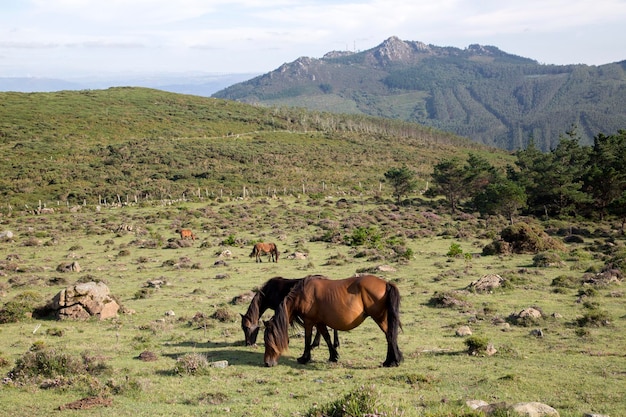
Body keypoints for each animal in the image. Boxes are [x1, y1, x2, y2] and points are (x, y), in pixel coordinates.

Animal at [262, 272, 400, 368]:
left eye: (269, 341)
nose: (267, 363)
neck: (303, 295)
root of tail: (386, 283)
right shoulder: (319, 322)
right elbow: (327, 337)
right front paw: (333, 356)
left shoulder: (309, 321)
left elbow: (307, 339)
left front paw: (304, 358)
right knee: (390, 335)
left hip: (380, 318)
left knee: (389, 335)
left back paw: (391, 361)